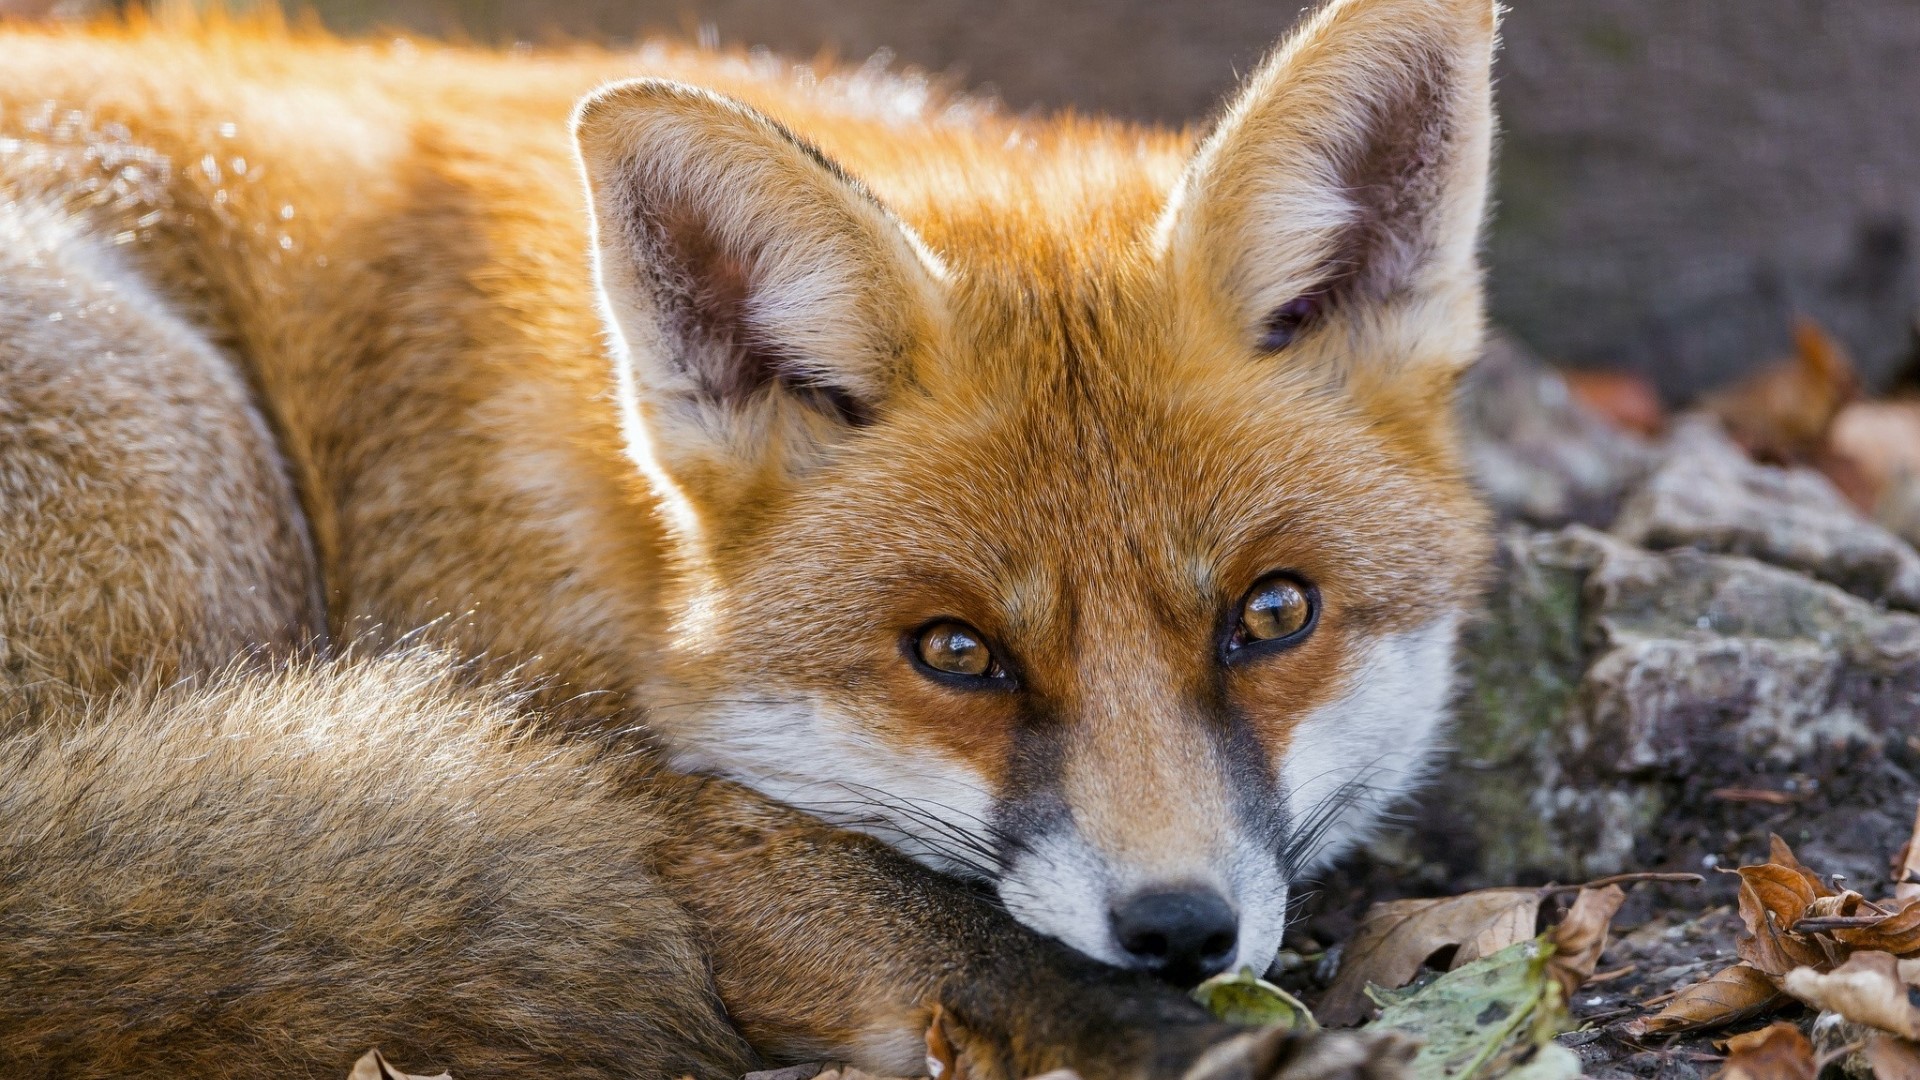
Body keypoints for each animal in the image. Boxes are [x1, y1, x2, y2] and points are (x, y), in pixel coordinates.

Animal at [0, 0, 1496, 1076]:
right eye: (955, 653)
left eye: (1273, 614)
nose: (1178, 929)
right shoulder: (569, 739)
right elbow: (921, 911)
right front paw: (1173, 1038)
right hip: (204, 482)